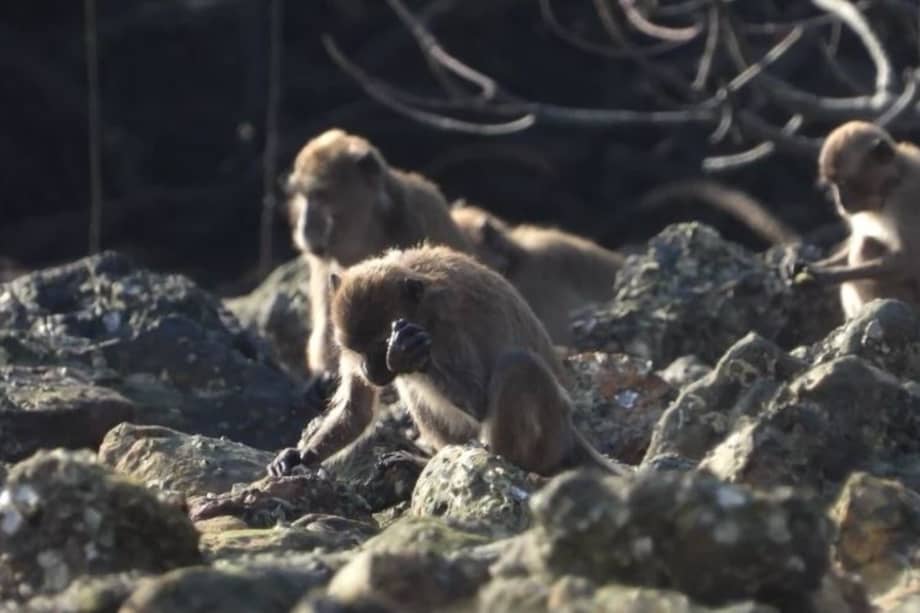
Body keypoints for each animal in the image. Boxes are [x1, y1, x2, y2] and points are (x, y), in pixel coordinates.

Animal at [267, 245, 630, 478]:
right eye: (357, 350)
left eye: (379, 348)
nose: (369, 370)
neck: (421, 306)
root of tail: (570, 432)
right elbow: (357, 411)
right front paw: (299, 457)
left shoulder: (446, 328)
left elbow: (480, 401)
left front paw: (406, 353)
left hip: (549, 433)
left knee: (517, 364)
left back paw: (509, 461)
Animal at [283, 128, 472, 403]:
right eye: (303, 197)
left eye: (320, 195)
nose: (304, 227)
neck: (369, 232)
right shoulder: (323, 260)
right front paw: (323, 375)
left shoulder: (417, 215)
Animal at [791, 121, 920, 319]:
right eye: (833, 184)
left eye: (843, 183)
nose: (840, 202)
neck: (891, 184)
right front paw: (808, 265)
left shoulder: (907, 198)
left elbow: (909, 261)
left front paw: (828, 275)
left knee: (866, 245)